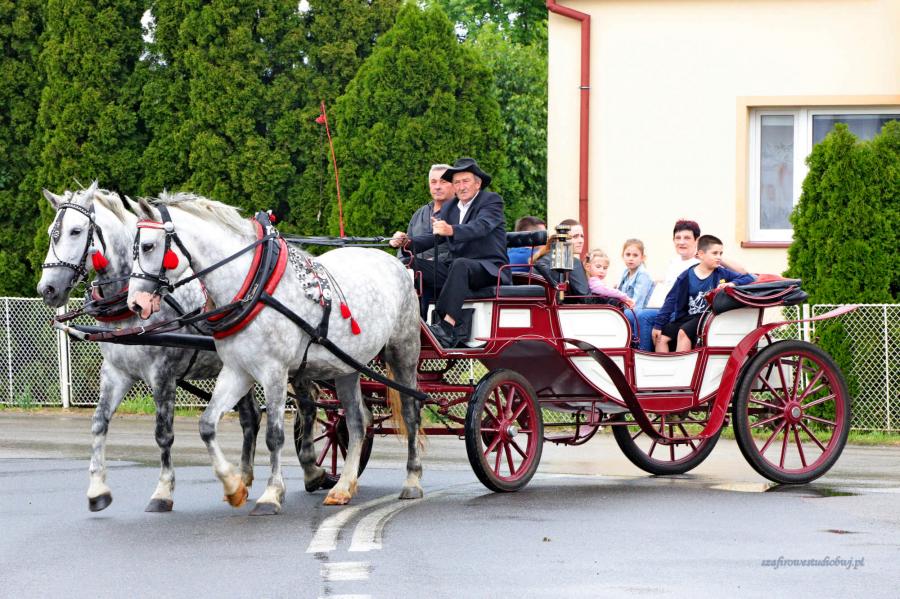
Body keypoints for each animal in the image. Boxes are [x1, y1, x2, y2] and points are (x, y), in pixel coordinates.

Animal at [36, 183, 261, 512]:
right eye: (52, 232)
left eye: (76, 231)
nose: (47, 289)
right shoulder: (116, 372)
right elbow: (98, 423)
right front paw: (97, 490)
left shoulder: (162, 374)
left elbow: (163, 434)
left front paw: (163, 491)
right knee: (250, 418)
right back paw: (242, 480)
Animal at [126, 193, 424, 513]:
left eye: (148, 246)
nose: (135, 303)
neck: (256, 283)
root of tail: (397, 263)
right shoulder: (237, 371)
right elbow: (207, 425)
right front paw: (234, 486)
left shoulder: (275, 372)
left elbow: (275, 435)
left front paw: (271, 494)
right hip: (346, 366)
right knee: (357, 421)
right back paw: (343, 487)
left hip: (404, 350)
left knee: (410, 413)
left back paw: (412, 480)